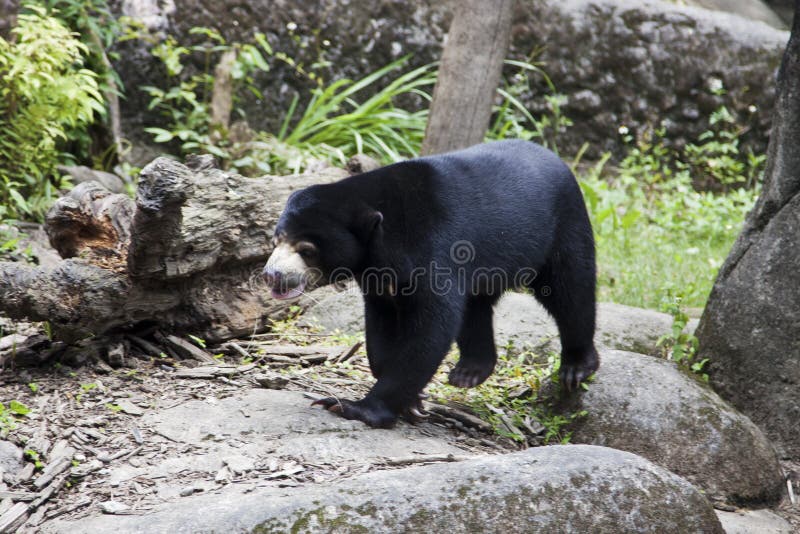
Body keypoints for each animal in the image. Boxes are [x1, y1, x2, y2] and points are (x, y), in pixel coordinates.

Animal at [264, 140, 600, 430]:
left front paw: (353, 407)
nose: (272, 275)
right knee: (476, 307)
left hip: (563, 226)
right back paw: (470, 371)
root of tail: (556, 157)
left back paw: (576, 366)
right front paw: (413, 402)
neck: (383, 239)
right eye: (276, 240)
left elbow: (430, 330)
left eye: (306, 250)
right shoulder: (379, 277)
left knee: (571, 291)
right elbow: (382, 326)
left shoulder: (435, 248)